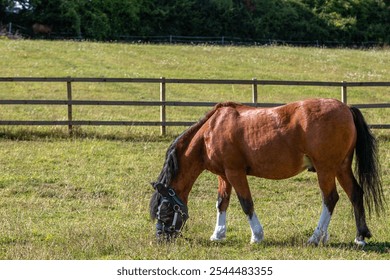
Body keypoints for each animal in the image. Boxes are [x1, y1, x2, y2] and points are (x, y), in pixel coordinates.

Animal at [149, 98, 384, 245]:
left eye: (165, 210)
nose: (161, 238)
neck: (210, 130)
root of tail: (346, 108)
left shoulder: (235, 173)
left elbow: (246, 203)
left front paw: (257, 236)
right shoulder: (224, 175)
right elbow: (222, 203)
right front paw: (218, 234)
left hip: (325, 169)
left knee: (330, 198)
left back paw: (316, 237)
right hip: (340, 167)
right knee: (355, 194)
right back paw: (359, 237)